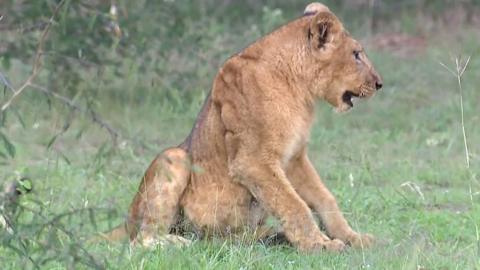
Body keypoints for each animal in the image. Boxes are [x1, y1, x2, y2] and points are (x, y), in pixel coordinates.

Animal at [104, 2, 382, 252]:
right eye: (357, 55)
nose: (380, 83)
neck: (299, 89)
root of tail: (126, 220)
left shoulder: (294, 157)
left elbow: (323, 196)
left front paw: (353, 238)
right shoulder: (253, 160)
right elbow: (294, 204)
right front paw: (320, 245)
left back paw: (269, 238)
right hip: (174, 156)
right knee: (141, 240)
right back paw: (180, 243)